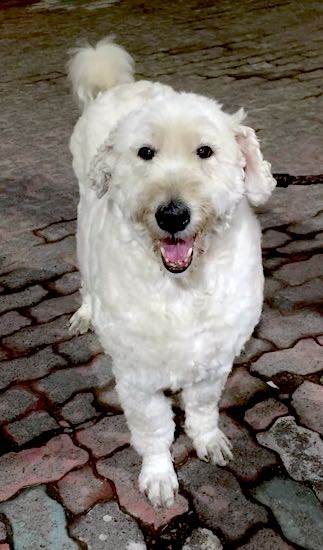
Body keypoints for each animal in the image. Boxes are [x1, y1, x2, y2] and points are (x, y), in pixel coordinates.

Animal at [67, 37, 276, 508]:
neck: (182, 288)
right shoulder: (138, 378)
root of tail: (116, 88)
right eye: (146, 153)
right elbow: (154, 430)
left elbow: (201, 407)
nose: (173, 215)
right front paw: (159, 476)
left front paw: (208, 440)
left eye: (205, 151)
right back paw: (86, 313)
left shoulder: (215, 359)